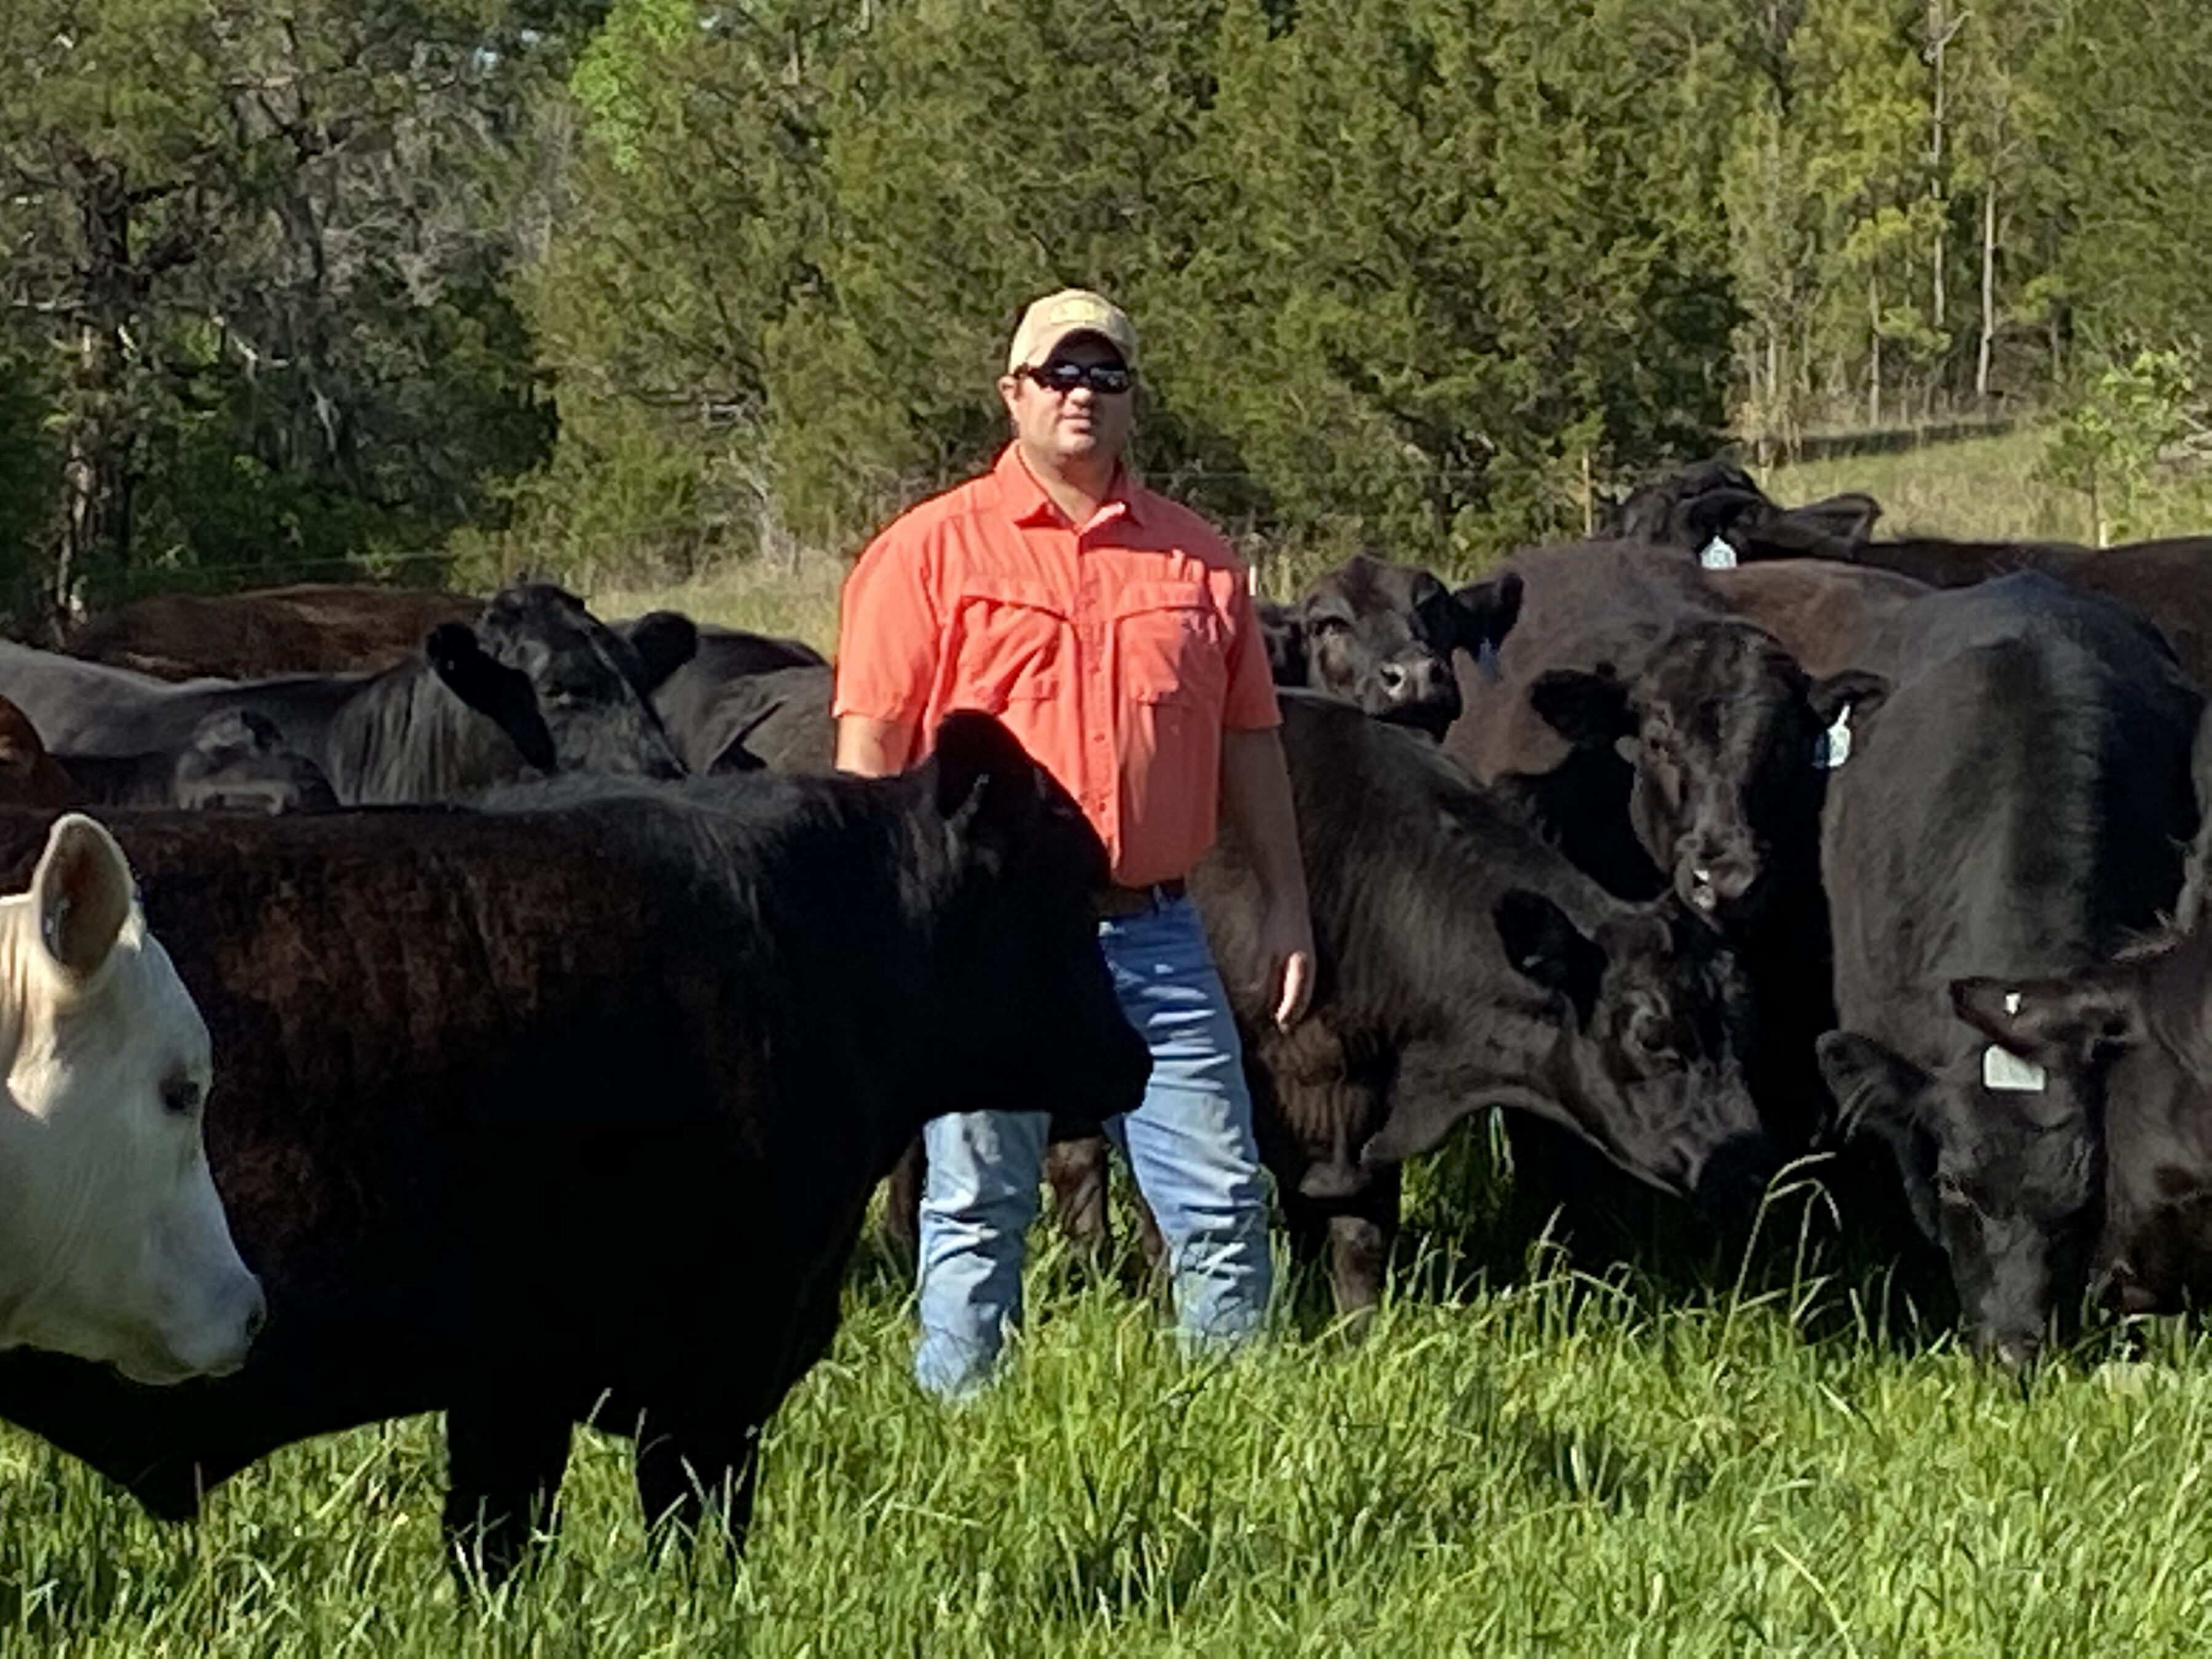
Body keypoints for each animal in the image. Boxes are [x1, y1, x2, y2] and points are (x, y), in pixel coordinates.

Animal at [0, 716, 1150, 1583]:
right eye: (1066, 887)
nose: (1134, 1058)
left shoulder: (514, 1381)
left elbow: (494, 1547)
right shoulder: (712, 1372)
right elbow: (680, 1546)